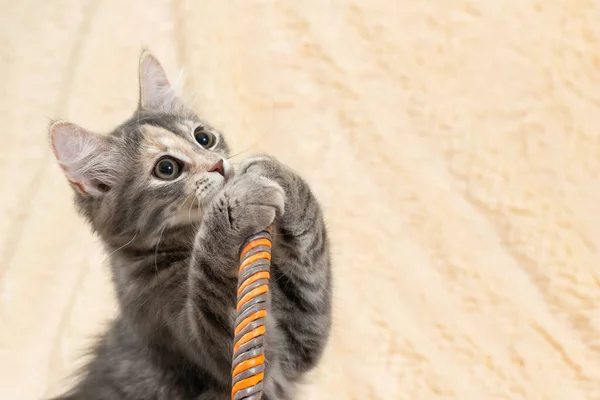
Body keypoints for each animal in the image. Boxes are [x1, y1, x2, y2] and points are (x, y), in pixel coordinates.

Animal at [48, 52, 332, 400]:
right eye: (167, 168)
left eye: (203, 138)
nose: (218, 165)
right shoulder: (223, 348)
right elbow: (212, 275)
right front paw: (237, 205)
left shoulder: (300, 339)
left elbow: (310, 262)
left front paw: (270, 170)